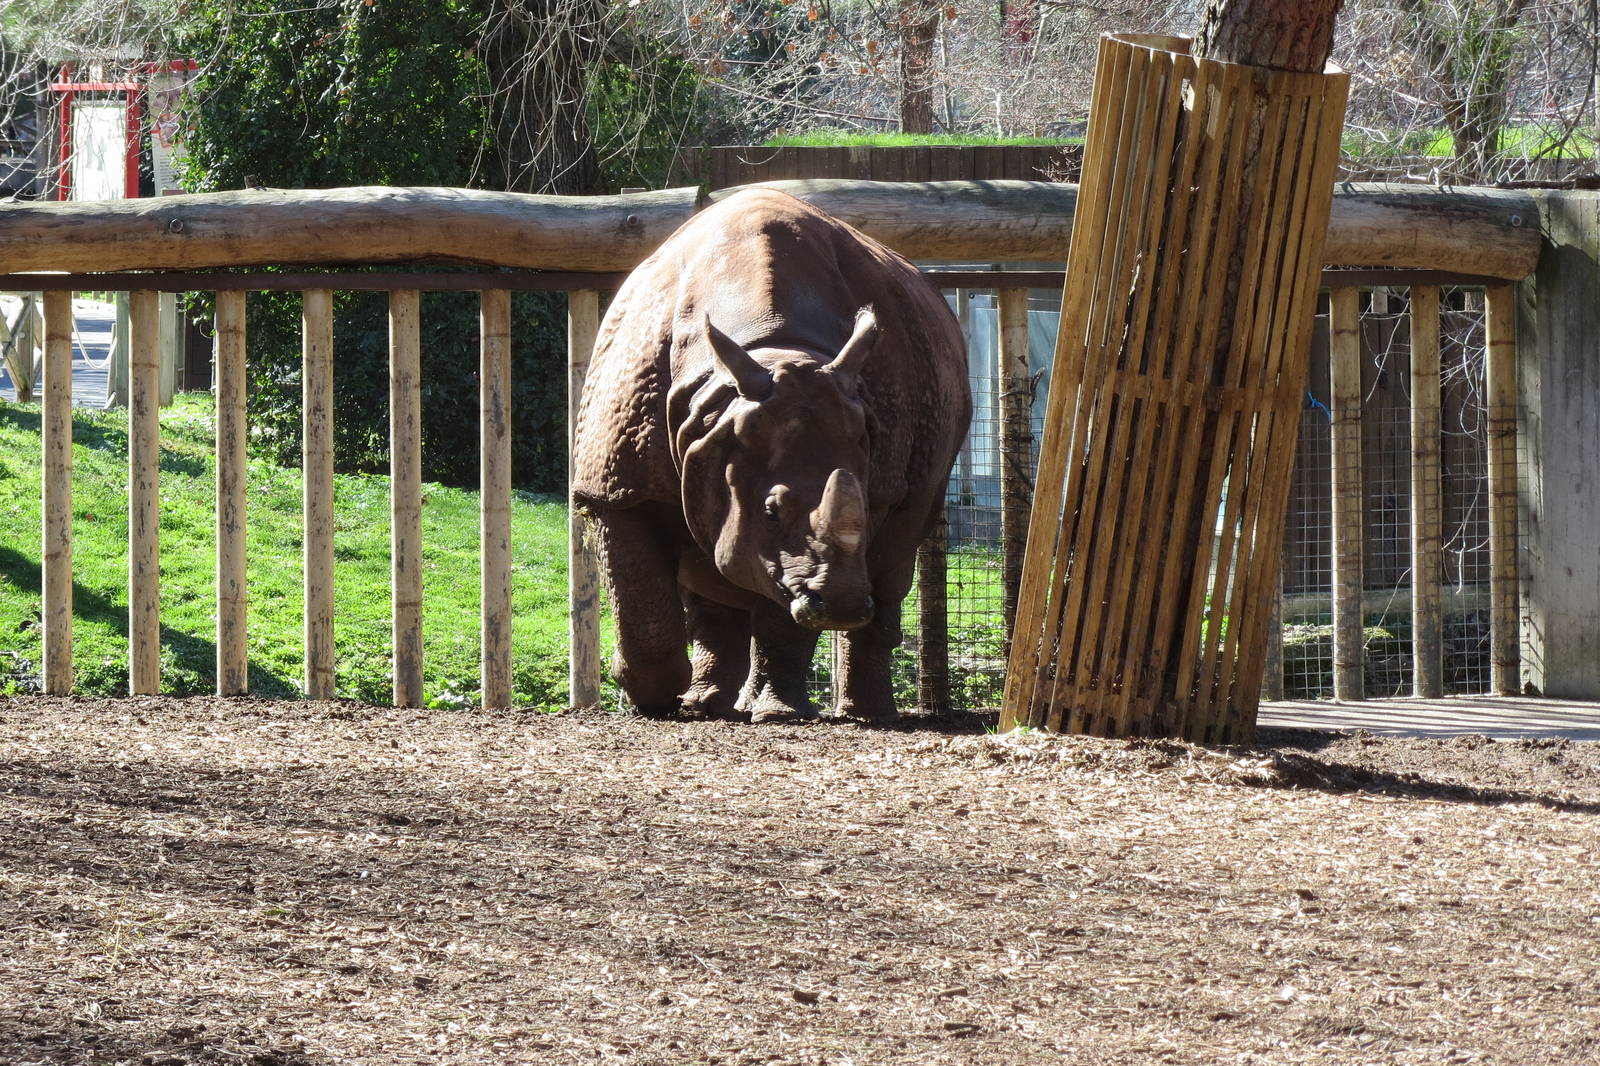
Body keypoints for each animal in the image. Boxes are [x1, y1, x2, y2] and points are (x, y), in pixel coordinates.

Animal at [571, 188, 971, 723]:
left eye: (866, 508)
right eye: (769, 510)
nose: (842, 604)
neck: (771, 352)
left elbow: (783, 600)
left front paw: (779, 714)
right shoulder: (617, 485)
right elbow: (643, 598)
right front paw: (648, 698)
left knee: (896, 550)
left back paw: (864, 714)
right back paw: (705, 704)